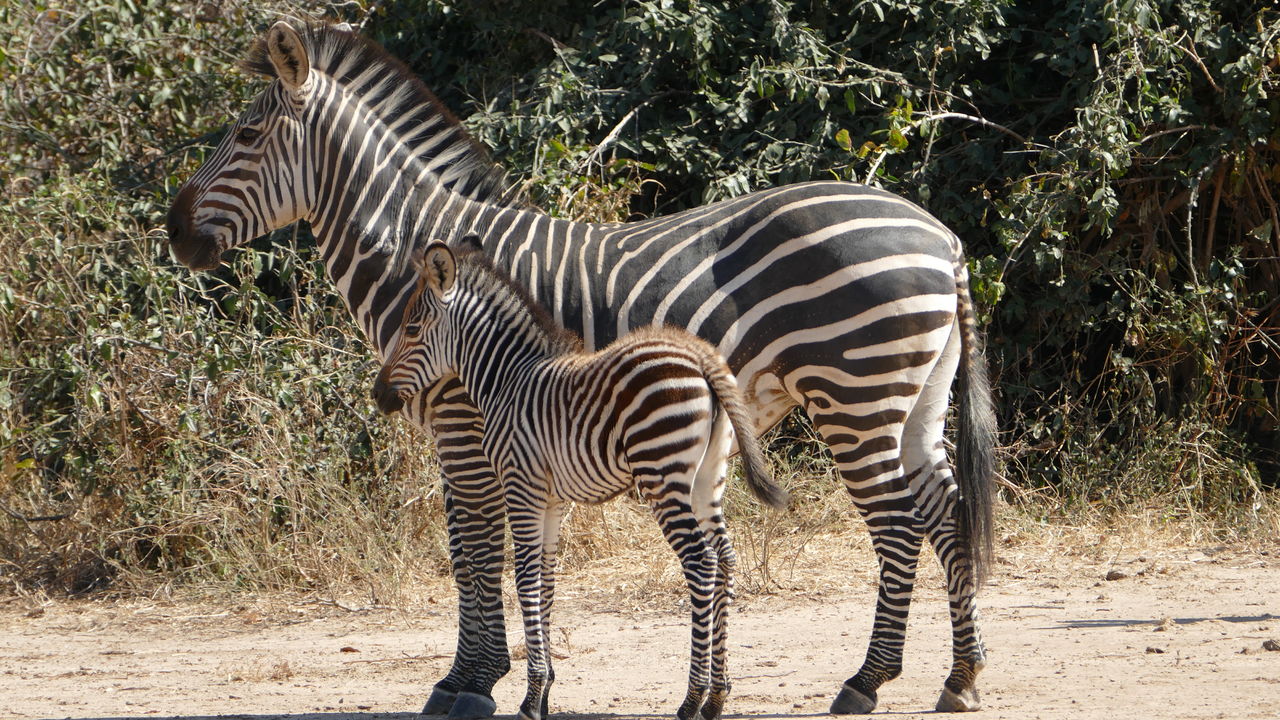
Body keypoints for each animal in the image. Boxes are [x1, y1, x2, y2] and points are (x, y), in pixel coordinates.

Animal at [371, 237, 788, 717]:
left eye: (412, 329)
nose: (378, 395)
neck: (506, 381)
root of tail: (699, 355)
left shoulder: (521, 486)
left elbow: (525, 579)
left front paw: (531, 695)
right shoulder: (551, 499)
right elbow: (547, 580)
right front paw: (546, 690)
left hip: (662, 474)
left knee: (701, 562)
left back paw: (691, 698)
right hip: (706, 478)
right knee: (724, 559)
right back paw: (717, 696)